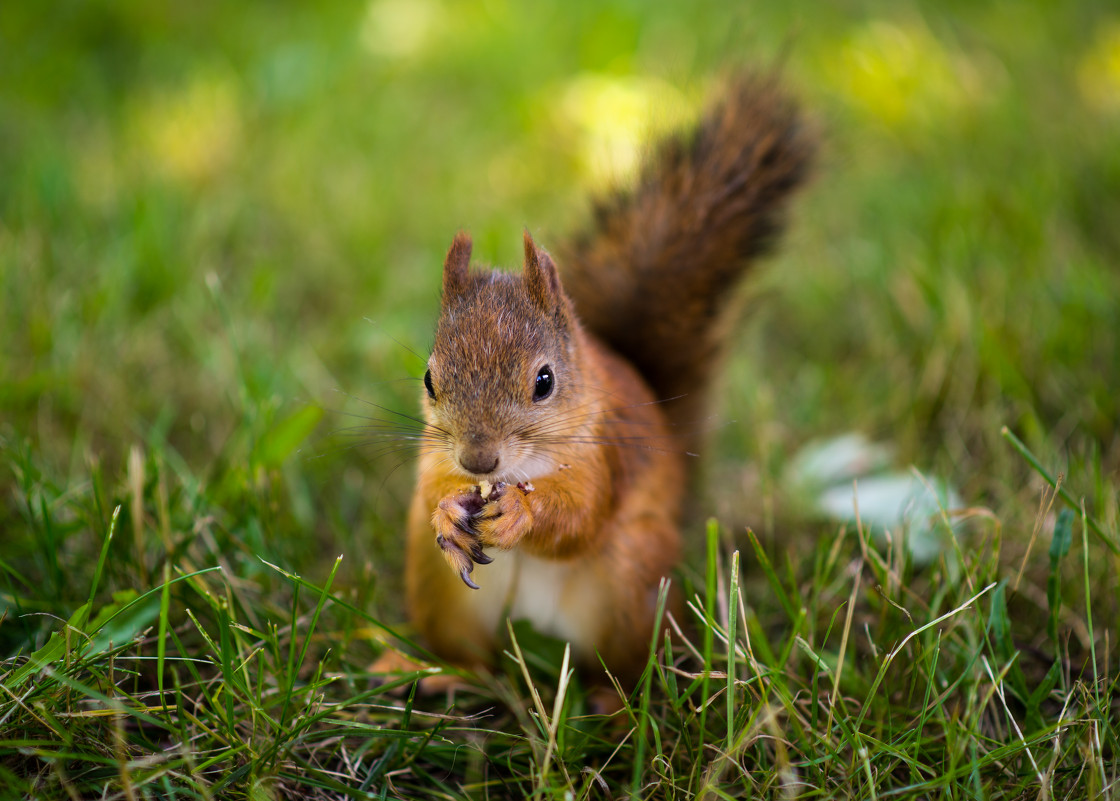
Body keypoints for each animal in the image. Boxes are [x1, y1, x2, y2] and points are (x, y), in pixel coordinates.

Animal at [400, 73, 815, 681]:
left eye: (545, 382)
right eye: (430, 380)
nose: (478, 461)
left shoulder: (605, 455)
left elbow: (581, 516)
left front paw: (523, 511)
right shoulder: (434, 451)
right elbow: (430, 485)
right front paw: (449, 511)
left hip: (632, 573)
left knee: (626, 663)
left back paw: (613, 697)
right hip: (439, 590)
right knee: (471, 659)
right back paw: (433, 671)